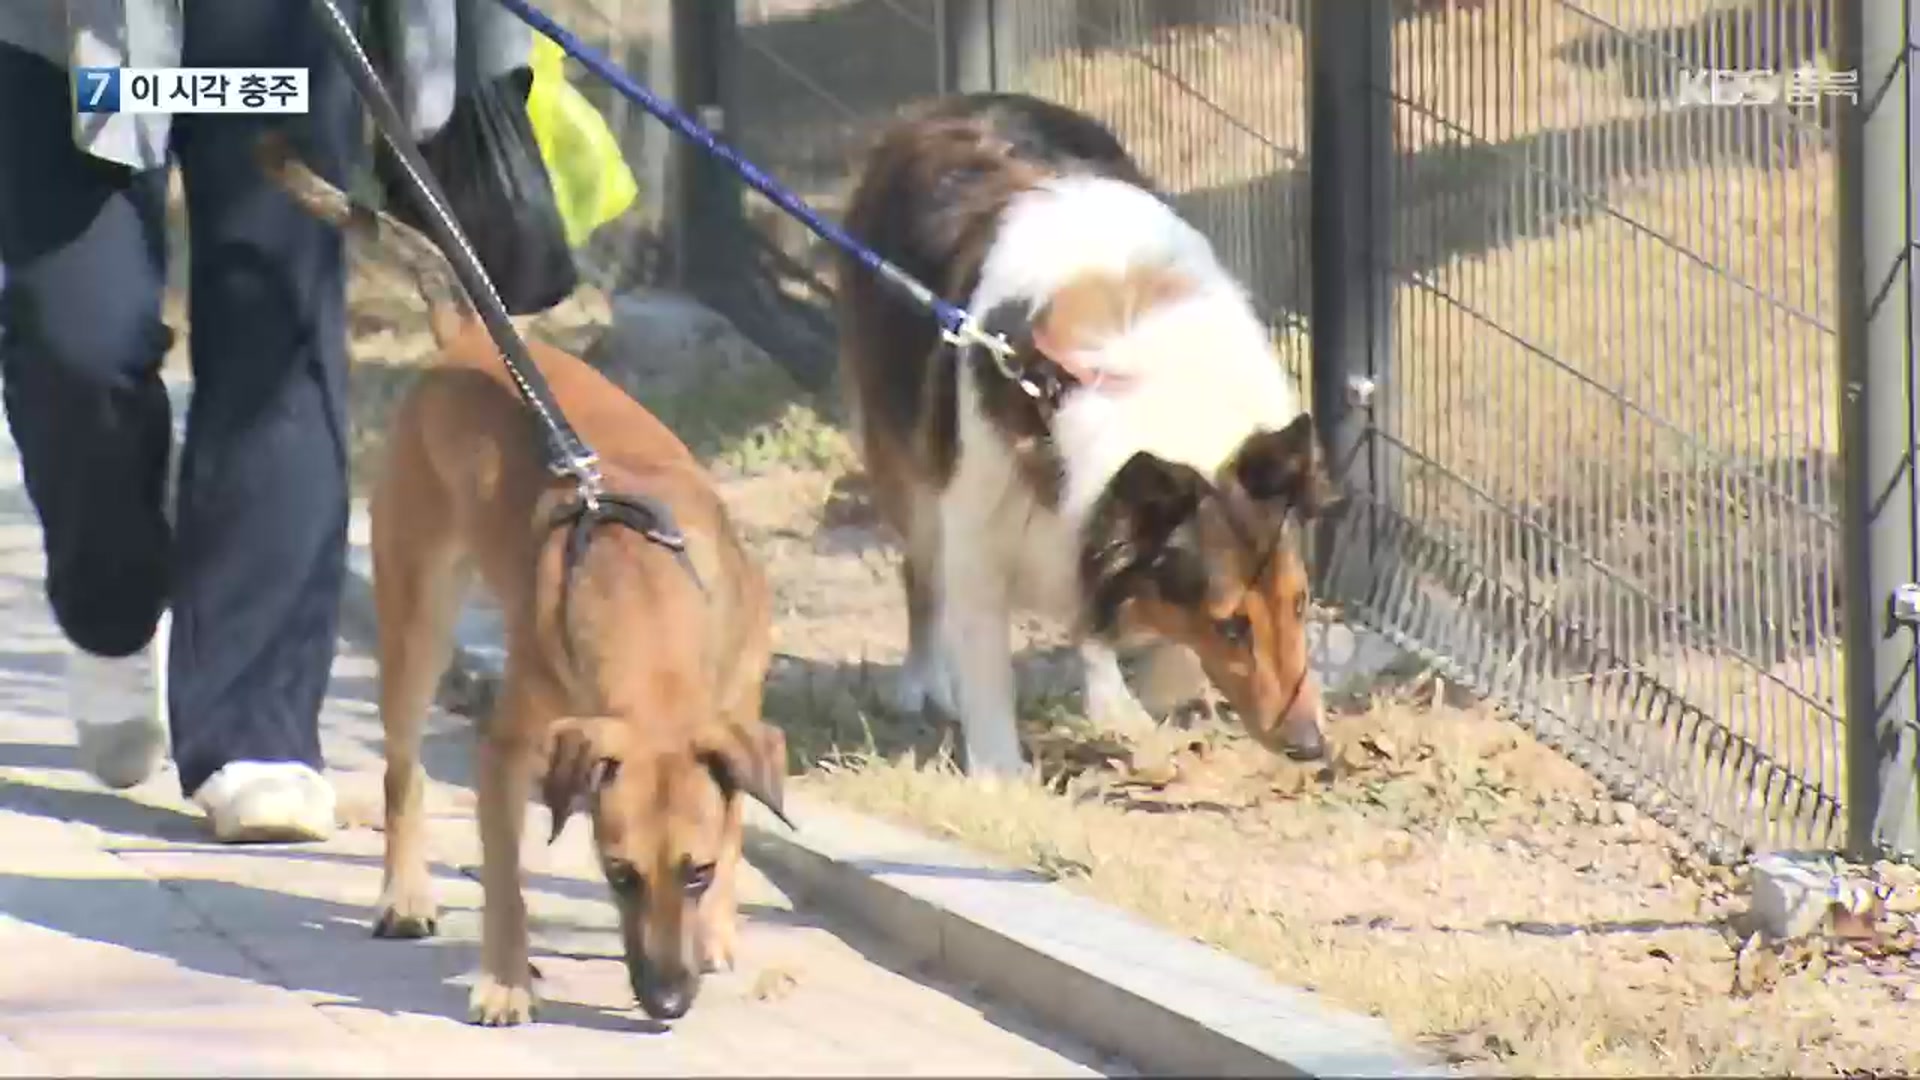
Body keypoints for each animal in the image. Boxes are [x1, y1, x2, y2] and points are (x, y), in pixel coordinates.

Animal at [257, 136, 787, 1022]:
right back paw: (404, 894)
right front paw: (505, 978)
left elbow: (741, 809)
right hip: (416, 621)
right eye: (618, 875)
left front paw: (716, 929)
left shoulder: (739, 706)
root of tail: (471, 336)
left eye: (698, 871)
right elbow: (506, 879)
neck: (647, 599)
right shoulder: (507, 752)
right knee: (402, 772)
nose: (666, 1002)